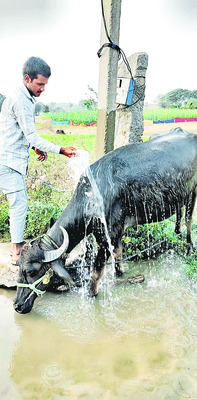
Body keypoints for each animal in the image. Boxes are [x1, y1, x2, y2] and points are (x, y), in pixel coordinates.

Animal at [13, 128, 197, 312]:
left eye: (31, 271)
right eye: (18, 266)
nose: (17, 305)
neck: (92, 197)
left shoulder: (107, 237)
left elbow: (96, 272)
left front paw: (92, 294)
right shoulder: (115, 235)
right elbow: (118, 257)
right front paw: (121, 273)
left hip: (193, 191)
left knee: (188, 219)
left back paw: (188, 247)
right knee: (180, 216)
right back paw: (177, 234)